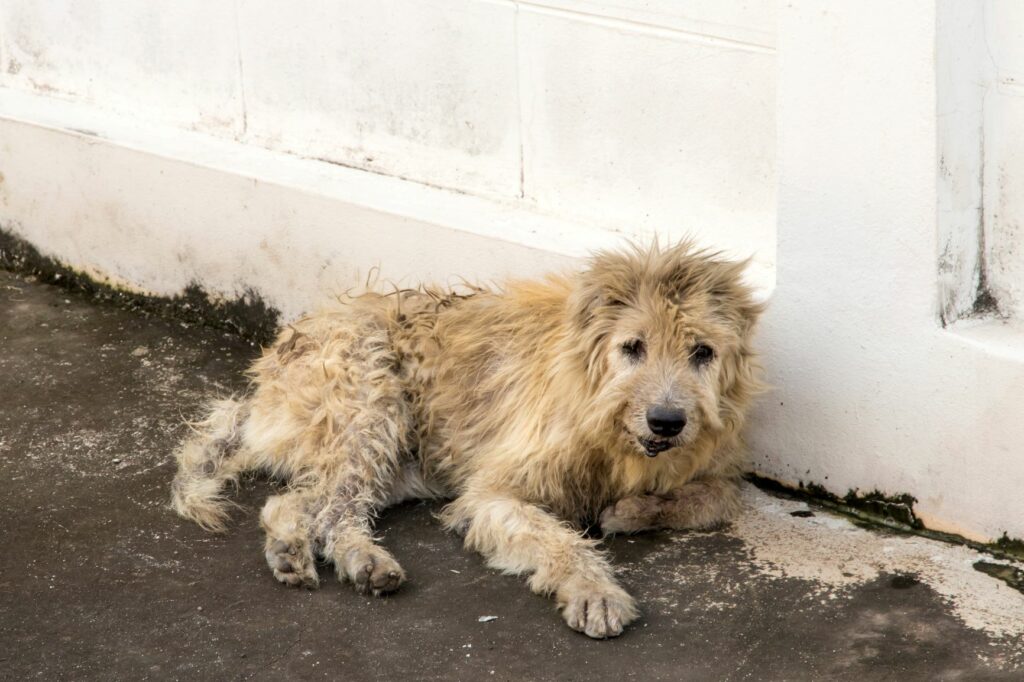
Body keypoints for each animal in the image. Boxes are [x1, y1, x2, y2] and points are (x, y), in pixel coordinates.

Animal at [169, 242, 761, 638]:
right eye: (633, 346)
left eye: (702, 352)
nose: (666, 421)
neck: (604, 418)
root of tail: (262, 387)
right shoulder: (493, 494)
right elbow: (559, 539)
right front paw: (595, 590)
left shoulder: (712, 466)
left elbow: (716, 495)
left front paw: (634, 510)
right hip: (371, 406)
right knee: (335, 512)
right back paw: (363, 561)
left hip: (400, 465)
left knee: (293, 503)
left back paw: (292, 549)